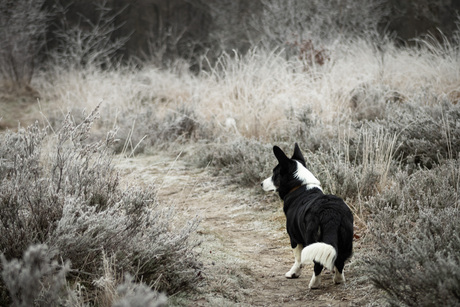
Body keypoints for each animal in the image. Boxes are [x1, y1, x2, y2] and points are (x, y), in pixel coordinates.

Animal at [260, 144, 354, 288]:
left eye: (274, 174)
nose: (261, 183)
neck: (300, 185)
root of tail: (330, 212)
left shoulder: (294, 238)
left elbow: (298, 259)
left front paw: (293, 273)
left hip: (312, 238)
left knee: (318, 264)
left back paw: (314, 284)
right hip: (345, 239)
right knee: (340, 261)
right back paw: (339, 280)